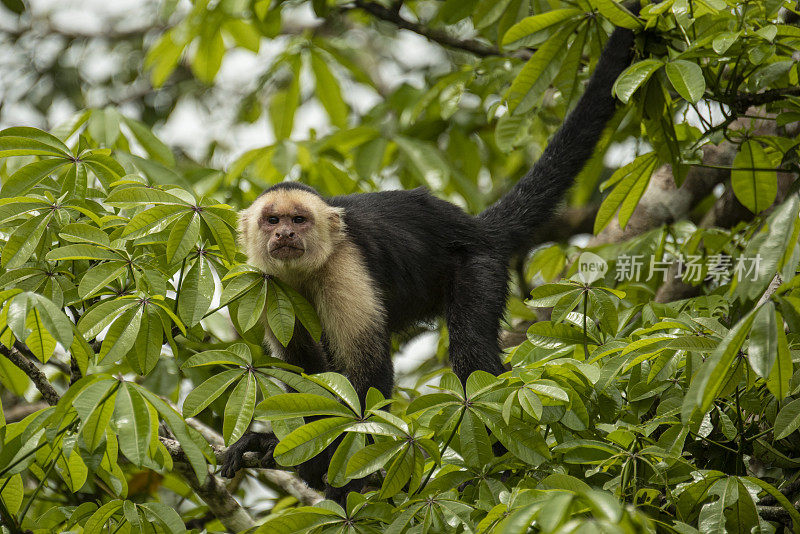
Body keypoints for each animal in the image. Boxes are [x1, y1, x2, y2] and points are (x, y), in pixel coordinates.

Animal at [222, 22, 640, 506]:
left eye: (299, 220)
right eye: (272, 220)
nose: (284, 235)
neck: (307, 273)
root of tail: (474, 226)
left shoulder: (344, 266)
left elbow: (366, 374)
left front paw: (342, 470)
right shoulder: (269, 286)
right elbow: (305, 372)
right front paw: (291, 450)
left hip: (477, 264)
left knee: (472, 353)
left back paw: (496, 459)